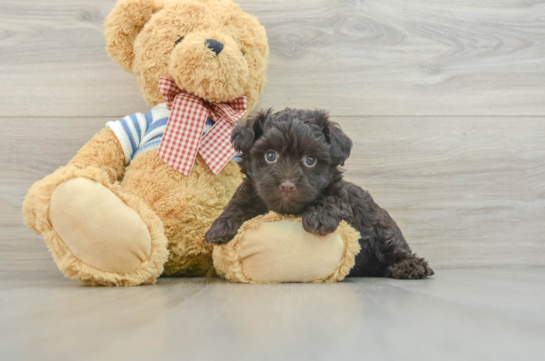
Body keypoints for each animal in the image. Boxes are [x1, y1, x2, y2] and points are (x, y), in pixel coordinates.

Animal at [204, 107, 434, 278]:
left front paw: (318, 218)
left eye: (310, 160)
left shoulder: (343, 200)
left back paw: (410, 266)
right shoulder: (252, 190)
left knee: (395, 249)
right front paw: (220, 226)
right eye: (270, 156)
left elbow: (330, 198)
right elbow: (238, 201)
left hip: (382, 230)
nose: (287, 185)